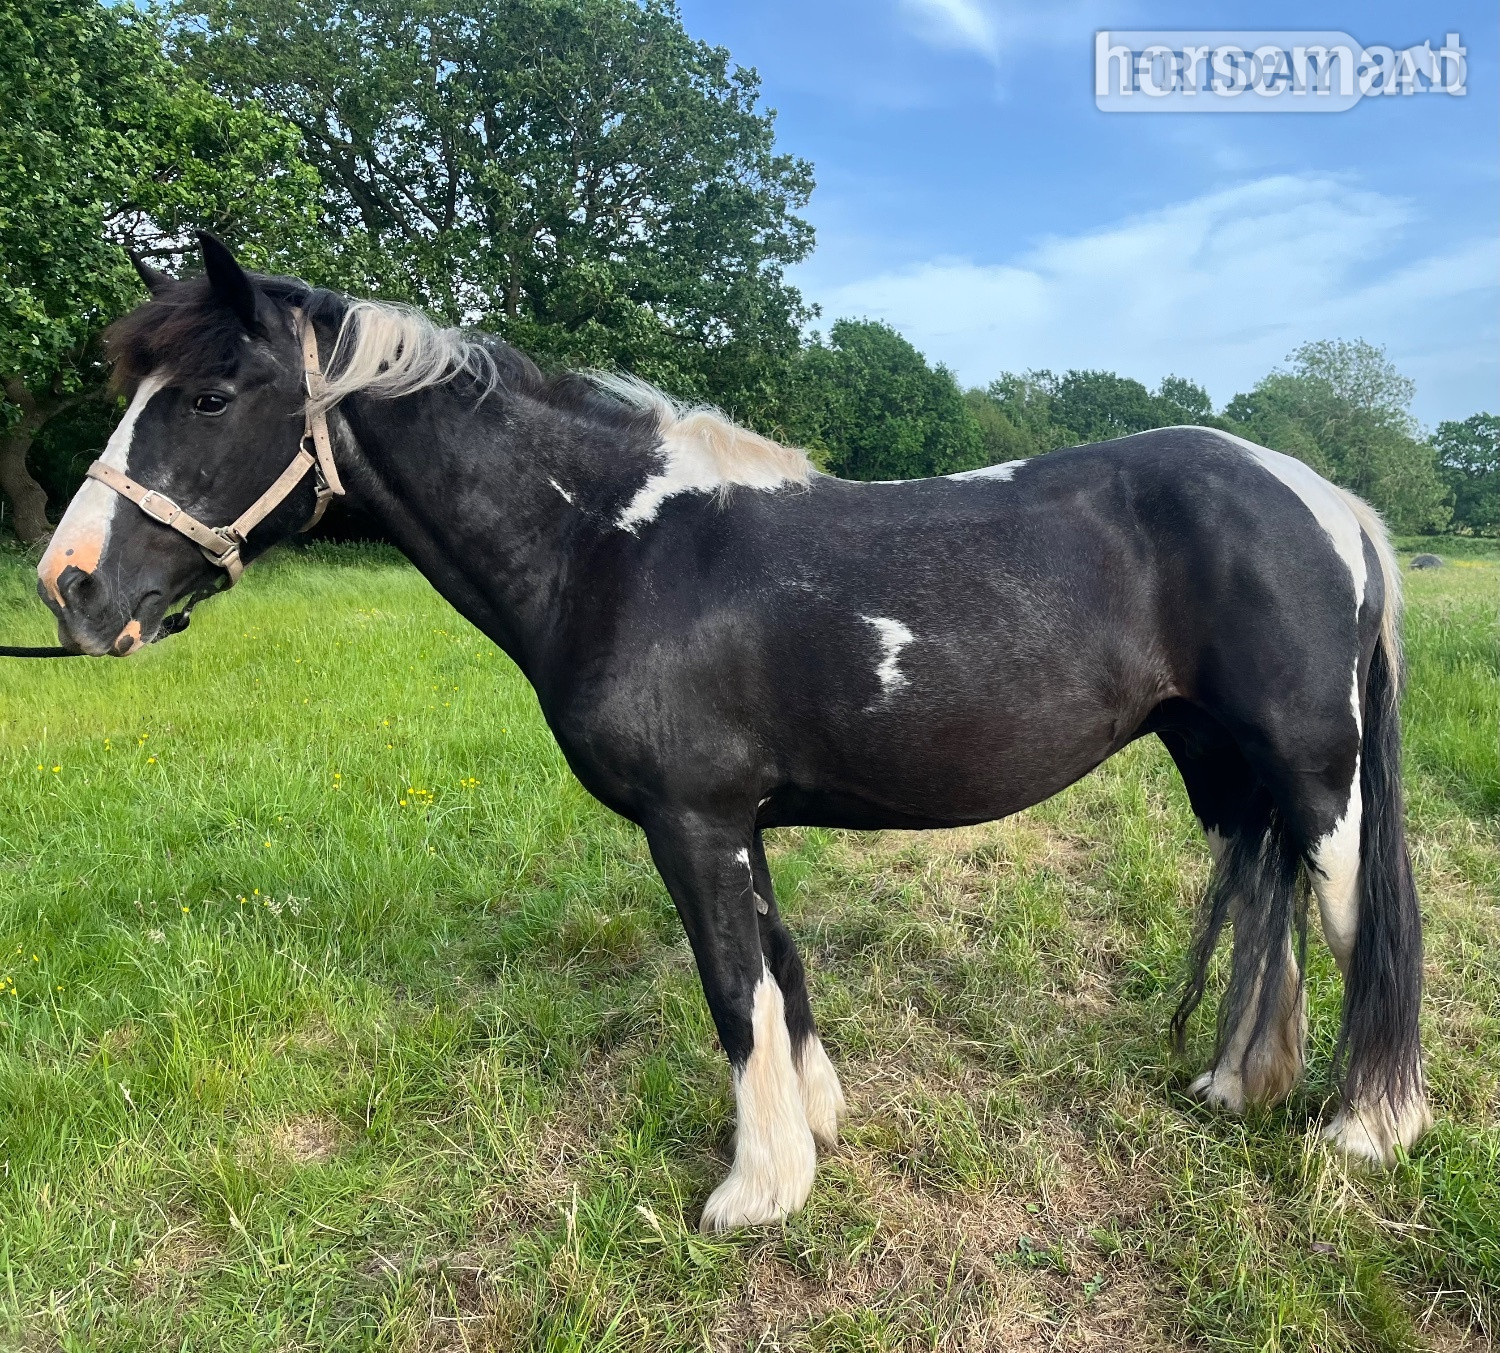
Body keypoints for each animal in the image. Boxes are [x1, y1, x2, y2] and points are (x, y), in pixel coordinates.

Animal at [37, 234, 1430, 1230]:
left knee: (1350, 916)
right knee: (1270, 899)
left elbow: (730, 987)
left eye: (211, 395)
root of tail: (1327, 500)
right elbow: (781, 973)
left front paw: (754, 1193)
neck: (614, 548)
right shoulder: (735, 821)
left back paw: (1368, 1131)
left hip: (1316, 770)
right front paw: (814, 1130)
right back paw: (1242, 1086)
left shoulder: (689, 821)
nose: (68, 586)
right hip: (1227, 767)